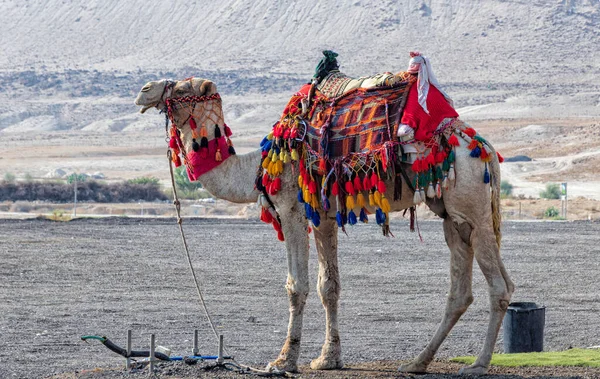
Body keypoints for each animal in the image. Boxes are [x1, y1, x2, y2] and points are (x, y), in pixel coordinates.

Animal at [136, 75, 516, 376]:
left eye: (181, 87)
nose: (143, 91)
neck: (256, 166)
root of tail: (485, 149)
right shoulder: (324, 217)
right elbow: (328, 286)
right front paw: (328, 359)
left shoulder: (291, 209)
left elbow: (297, 286)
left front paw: (283, 361)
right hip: (453, 215)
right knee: (461, 289)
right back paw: (417, 362)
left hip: (474, 208)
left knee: (500, 286)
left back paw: (478, 365)